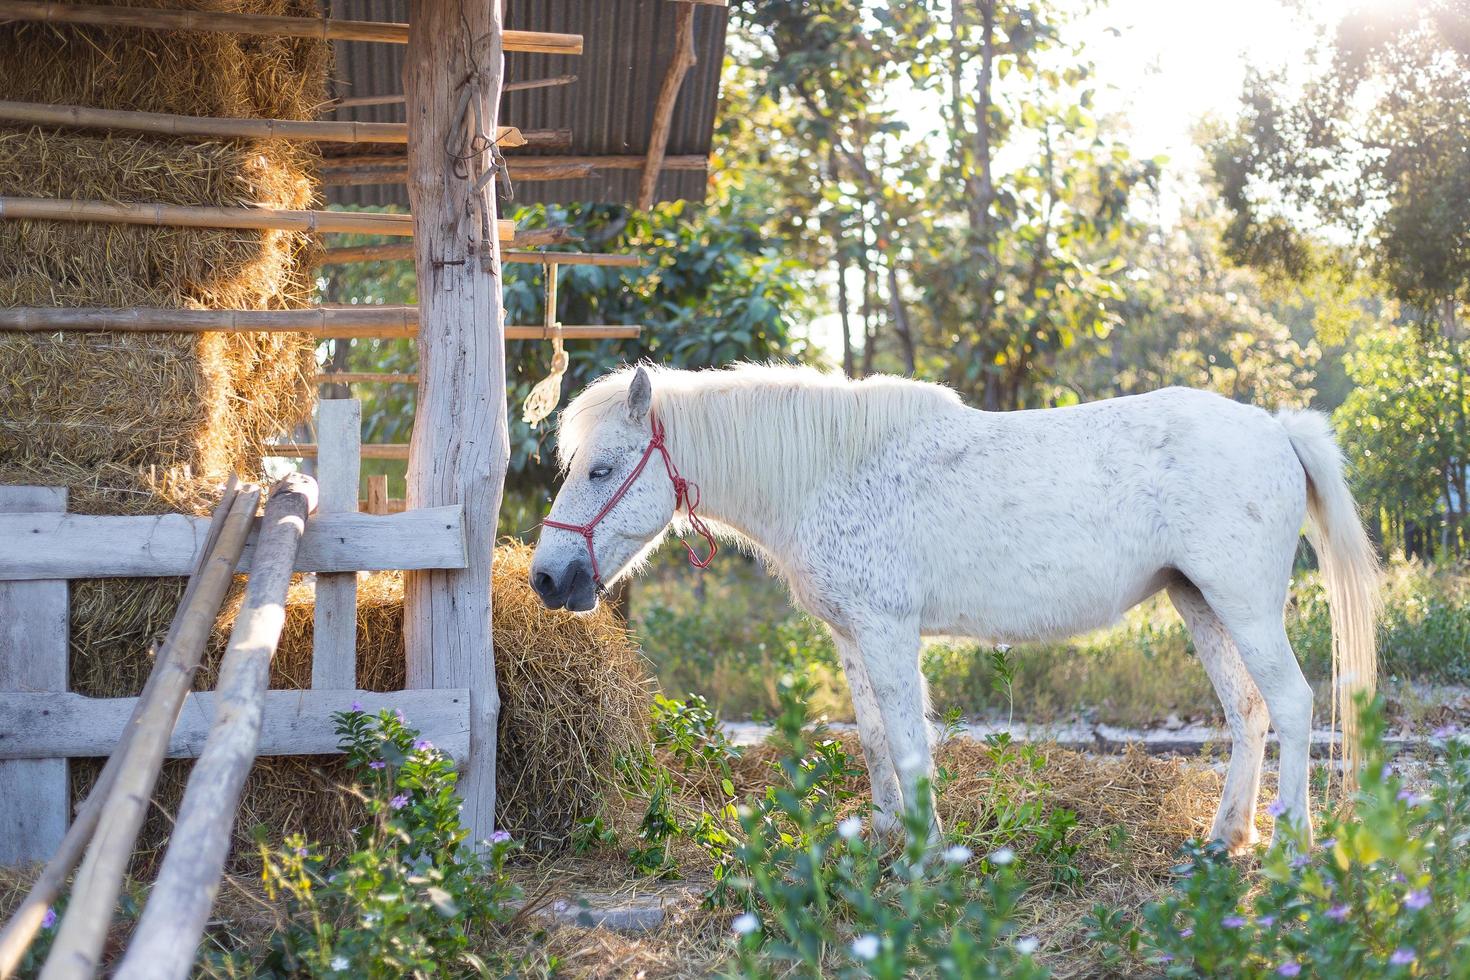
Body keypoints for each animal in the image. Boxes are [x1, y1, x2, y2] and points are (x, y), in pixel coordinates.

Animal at [532, 364, 1375, 846]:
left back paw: (1291, 842)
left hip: (1244, 608)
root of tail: (1276, 429)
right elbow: (874, 736)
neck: (830, 469)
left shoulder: (888, 632)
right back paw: (1225, 837)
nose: (547, 579)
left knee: (1293, 706)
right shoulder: (852, 636)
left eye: (602, 469)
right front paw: (883, 836)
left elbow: (909, 741)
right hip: (1199, 603)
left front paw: (927, 850)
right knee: (1248, 713)